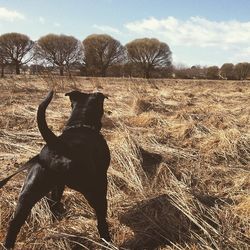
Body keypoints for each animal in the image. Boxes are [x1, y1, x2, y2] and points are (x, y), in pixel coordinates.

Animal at [2, 91, 110, 249]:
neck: (80, 124)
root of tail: (57, 146)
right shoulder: (101, 179)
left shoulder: (58, 185)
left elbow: (54, 200)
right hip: (93, 190)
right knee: (101, 219)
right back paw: (107, 240)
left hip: (28, 192)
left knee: (15, 224)